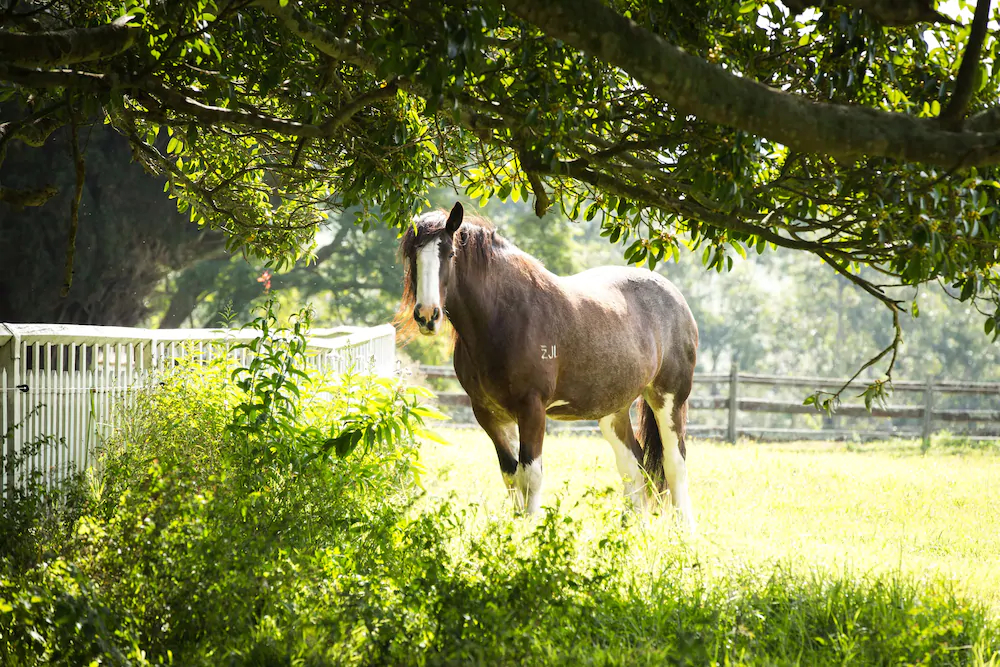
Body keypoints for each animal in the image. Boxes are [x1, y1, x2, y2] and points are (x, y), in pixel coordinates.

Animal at [394, 201, 700, 528]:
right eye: (412, 256)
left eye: (450, 254)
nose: (428, 315)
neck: (504, 316)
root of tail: (675, 298)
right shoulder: (488, 414)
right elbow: (510, 474)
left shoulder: (532, 409)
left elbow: (530, 475)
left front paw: (529, 531)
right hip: (612, 409)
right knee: (633, 464)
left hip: (669, 399)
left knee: (674, 462)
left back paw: (684, 530)